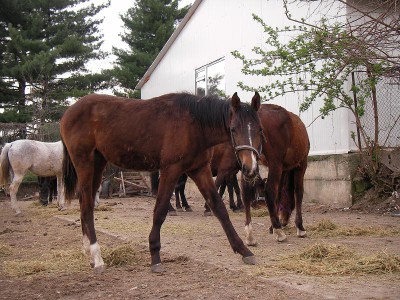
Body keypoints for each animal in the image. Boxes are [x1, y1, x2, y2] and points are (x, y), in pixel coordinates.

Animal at [61, 92, 264, 274]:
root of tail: (68, 112)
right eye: (233, 129)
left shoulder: (200, 170)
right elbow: (160, 211)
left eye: (260, 130)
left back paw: (88, 251)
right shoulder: (171, 169)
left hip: (98, 163)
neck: (194, 124)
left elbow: (219, 208)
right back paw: (97, 257)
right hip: (85, 163)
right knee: (87, 204)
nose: (250, 168)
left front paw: (244, 250)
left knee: (84, 203)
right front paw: (155, 256)